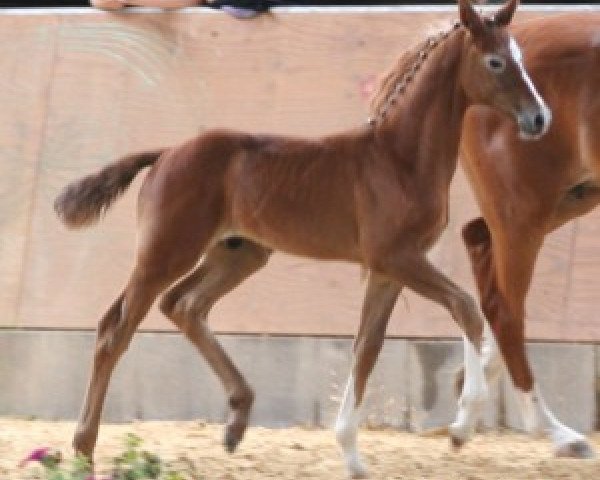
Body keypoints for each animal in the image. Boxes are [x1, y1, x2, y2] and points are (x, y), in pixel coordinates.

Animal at [54, 0, 548, 476]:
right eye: (496, 61)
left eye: (521, 58)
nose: (539, 118)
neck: (399, 159)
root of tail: (165, 153)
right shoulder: (398, 257)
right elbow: (465, 307)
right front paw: (464, 420)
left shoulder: (387, 270)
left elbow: (366, 347)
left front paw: (352, 456)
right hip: (165, 252)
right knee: (115, 331)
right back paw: (83, 451)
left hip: (239, 254)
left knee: (183, 305)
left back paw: (236, 421)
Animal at [454, 11, 600, 460]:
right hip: (524, 212)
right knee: (505, 308)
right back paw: (555, 431)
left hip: (570, 197)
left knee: (479, 245)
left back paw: (466, 407)